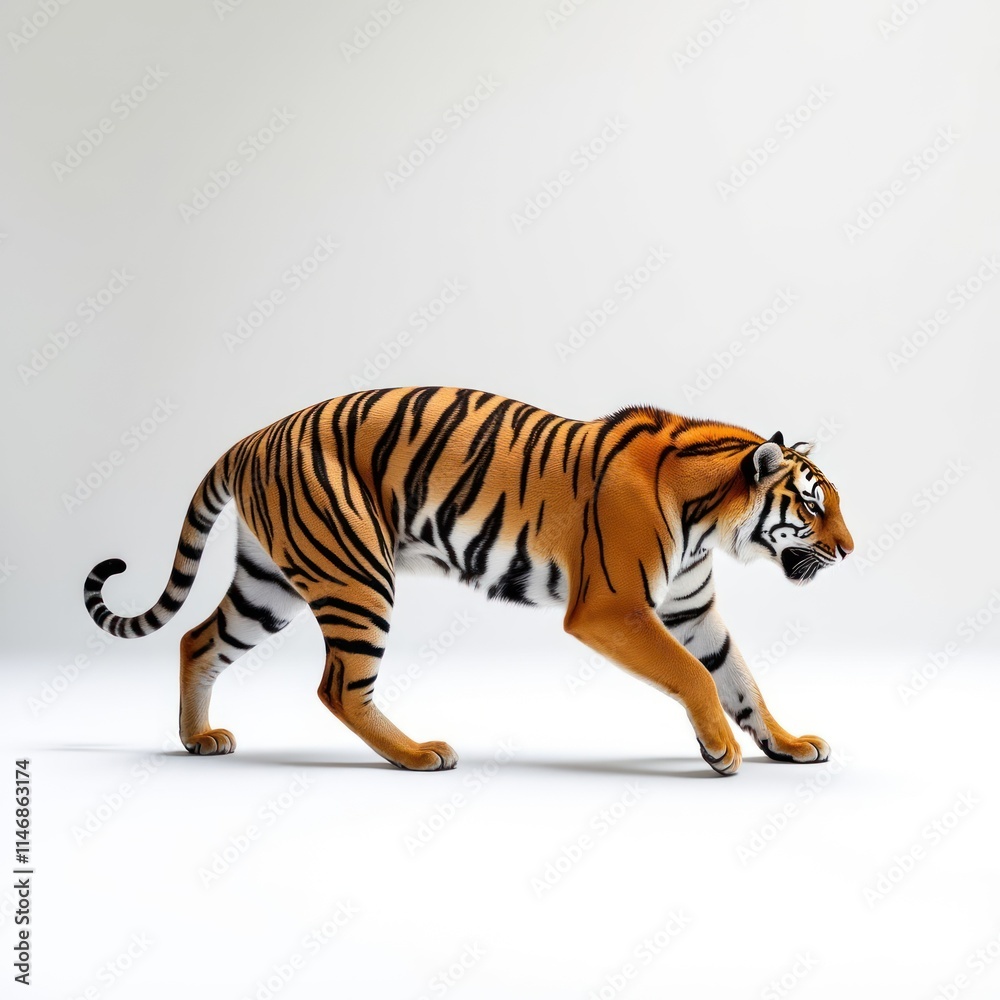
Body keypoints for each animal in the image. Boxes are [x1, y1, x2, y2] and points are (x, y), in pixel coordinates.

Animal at [84, 386, 853, 775]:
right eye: (814, 505)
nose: (850, 551)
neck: (709, 518)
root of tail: (249, 440)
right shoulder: (613, 608)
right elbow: (693, 676)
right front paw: (722, 750)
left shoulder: (691, 609)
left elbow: (739, 678)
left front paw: (785, 743)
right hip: (356, 574)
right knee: (339, 685)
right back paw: (418, 754)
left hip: (267, 582)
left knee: (196, 640)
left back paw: (198, 739)